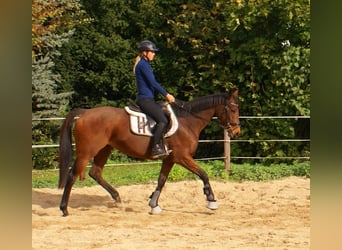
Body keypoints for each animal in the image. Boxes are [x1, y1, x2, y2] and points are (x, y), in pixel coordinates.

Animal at [57, 90, 240, 217]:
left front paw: (154, 205)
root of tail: (85, 113)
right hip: (86, 152)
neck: (187, 121)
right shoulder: (182, 157)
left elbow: (161, 180)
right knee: (73, 175)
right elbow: (203, 174)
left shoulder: (170, 159)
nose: (236, 131)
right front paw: (211, 200)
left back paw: (117, 198)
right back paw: (64, 209)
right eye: (232, 109)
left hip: (104, 149)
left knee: (95, 172)